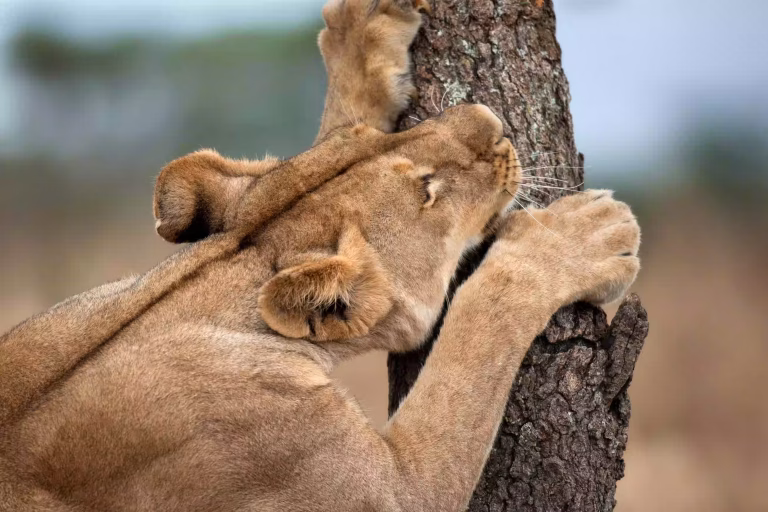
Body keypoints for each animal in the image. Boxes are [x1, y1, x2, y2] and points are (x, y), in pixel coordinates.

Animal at [0, 1, 641, 511]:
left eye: (380, 138)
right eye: (426, 190)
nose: (489, 118)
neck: (227, 279)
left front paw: (362, 30)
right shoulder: (385, 489)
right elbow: (476, 338)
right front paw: (577, 238)